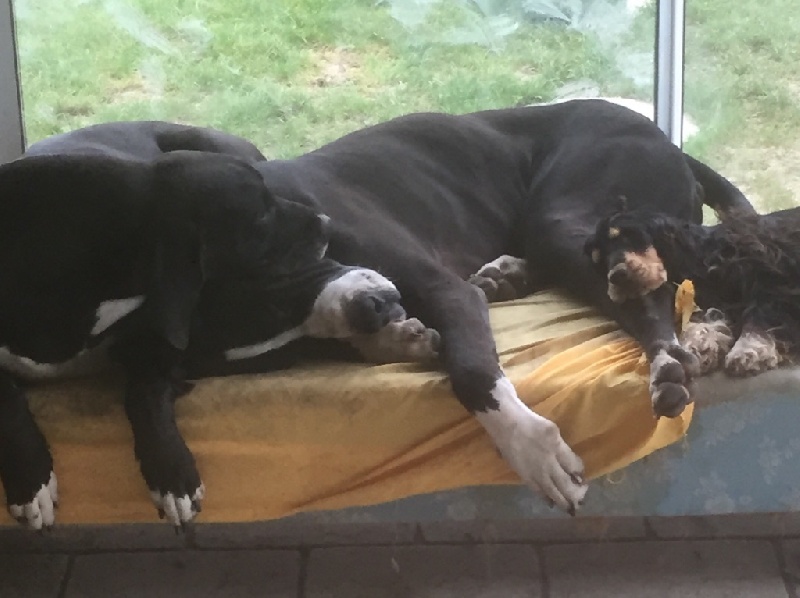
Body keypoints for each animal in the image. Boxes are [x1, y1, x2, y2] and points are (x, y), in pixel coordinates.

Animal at [1, 122, 414, 530]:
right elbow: (9, 397)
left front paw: (171, 474)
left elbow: (144, 392)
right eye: (261, 217)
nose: (326, 223)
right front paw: (31, 482)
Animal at [584, 205, 800, 379]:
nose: (616, 276)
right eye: (598, 260)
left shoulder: (773, 279)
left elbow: (760, 313)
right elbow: (705, 318)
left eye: (627, 236)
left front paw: (749, 349)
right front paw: (700, 346)